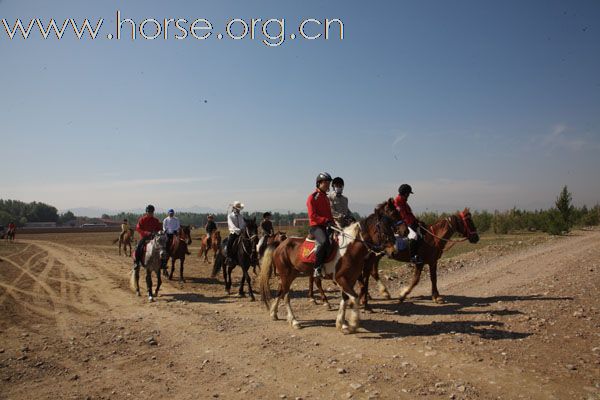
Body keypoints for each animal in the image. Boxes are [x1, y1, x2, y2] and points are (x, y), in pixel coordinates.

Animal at [256, 202, 400, 332]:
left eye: (391, 227)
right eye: (383, 229)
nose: (394, 251)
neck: (349, 249)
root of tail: (280, 244)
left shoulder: (350, 279)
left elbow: (345, 299)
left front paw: (341, 323)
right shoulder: (341, 278)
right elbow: (354, 297)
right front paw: (353, 323)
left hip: (290, 274)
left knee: (280, 291)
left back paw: (273, 313)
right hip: (286, 274)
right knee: (286, 295)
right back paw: (294, 321)